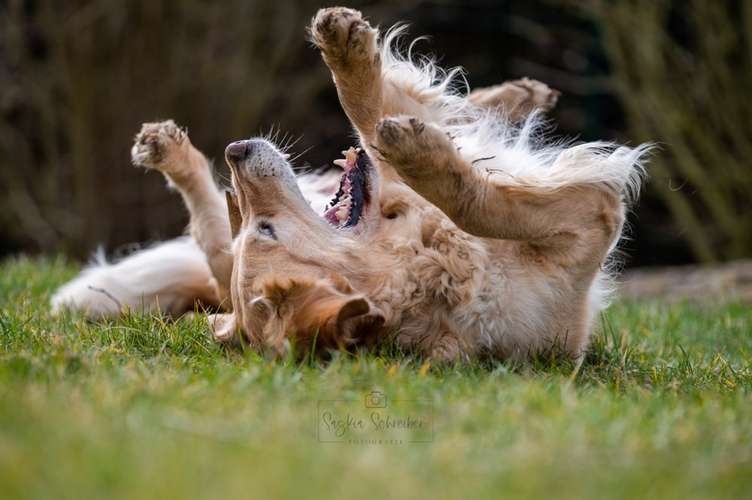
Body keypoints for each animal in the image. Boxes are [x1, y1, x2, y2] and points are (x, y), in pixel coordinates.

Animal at [53, 6, 648, 360]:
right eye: (263, 231)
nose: (236, 151)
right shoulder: (589, 221)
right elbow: (476, 196)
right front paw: (422, 150)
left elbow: (374, 110)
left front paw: (347, 54)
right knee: (210, 232)